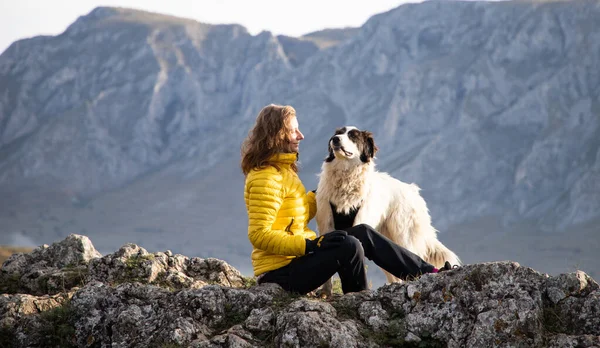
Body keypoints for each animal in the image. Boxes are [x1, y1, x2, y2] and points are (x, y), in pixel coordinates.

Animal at [314, 126, 460, 294]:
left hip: (404, 235)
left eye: (353, 136)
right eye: (338, 133)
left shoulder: (358, 222)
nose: (335, 139)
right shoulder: (327, 225)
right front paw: (326, 292)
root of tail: (413, 191)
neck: (346, 177)